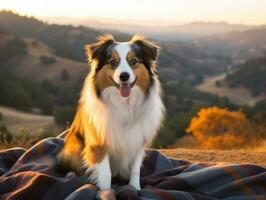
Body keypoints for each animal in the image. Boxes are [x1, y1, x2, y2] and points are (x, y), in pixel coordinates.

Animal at [57, 34, 164, 191]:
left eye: (134, 62)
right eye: (113, 62)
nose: (124, 76)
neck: (124, 104)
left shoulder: (137, 141)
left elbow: (135, 169)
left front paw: (135, 188)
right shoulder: (98, 144)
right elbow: (105, 173)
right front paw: (105, 191)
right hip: (74, 145)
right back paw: (70, 174)